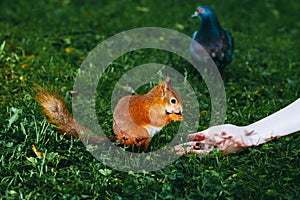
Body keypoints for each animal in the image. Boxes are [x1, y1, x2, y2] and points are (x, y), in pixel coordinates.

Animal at [36, 78, 184, 150]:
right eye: (173, 100)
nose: (182, 109)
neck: (155, 101)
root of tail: (119, 138)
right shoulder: (152, 111)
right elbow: (159, 120)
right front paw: (175, 116)